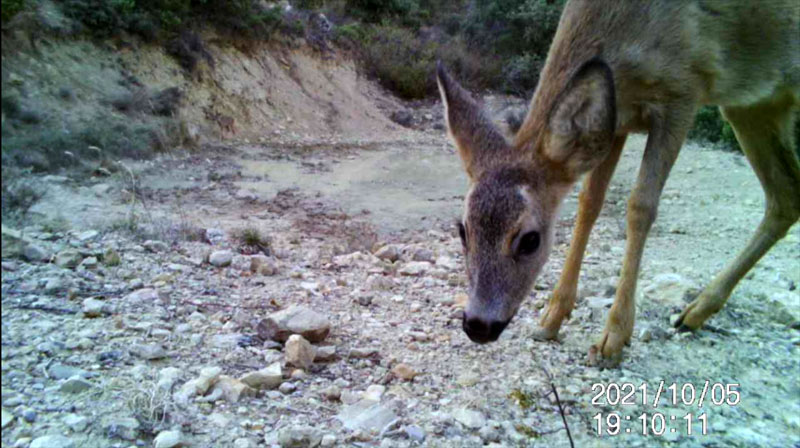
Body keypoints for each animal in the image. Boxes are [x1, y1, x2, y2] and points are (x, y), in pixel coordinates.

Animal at [438, 0, 800, 364]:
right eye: (463, 230)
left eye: (530, 240)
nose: (478, 324)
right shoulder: (616, 120)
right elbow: (589, 203)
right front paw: (552, 317)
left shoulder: (684, 90)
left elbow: (640, 206)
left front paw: (614, 335)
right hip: (752, 105)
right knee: (785, 197)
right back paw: (696, 311)